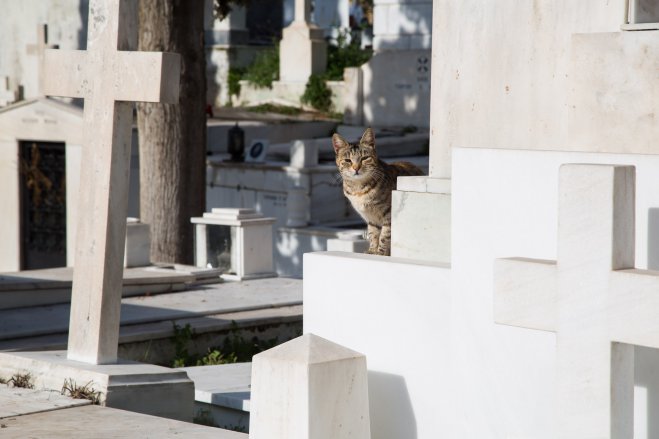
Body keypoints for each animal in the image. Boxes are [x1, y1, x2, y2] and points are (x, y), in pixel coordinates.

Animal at [332, 127, 426, 256]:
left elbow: (384, 235)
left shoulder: (388, 214)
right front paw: (372, 250)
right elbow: (373, 234)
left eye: (364, 158)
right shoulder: (370, 218)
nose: (356, 168)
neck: (359, 190)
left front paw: (380, 252)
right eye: (348, 160)